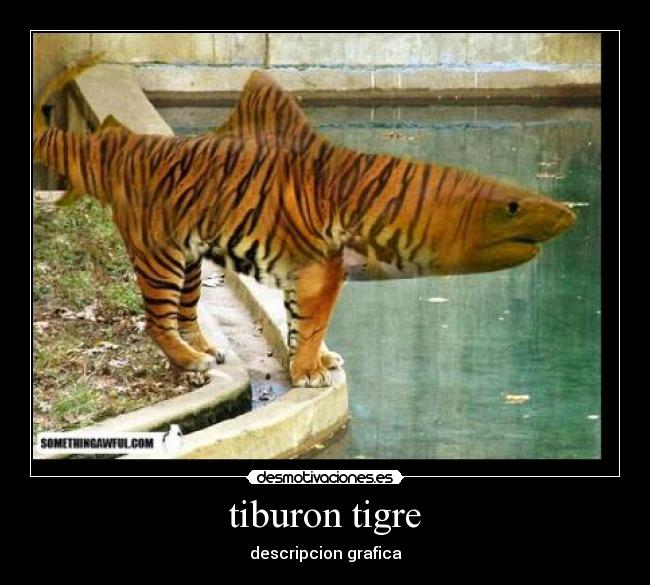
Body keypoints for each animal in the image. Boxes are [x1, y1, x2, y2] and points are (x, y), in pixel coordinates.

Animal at [33, 55, 576, 388]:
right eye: (513, 207)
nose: (568, 215)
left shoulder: (312, 271)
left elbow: (303, 322)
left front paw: (314, 362)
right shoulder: (322, 266)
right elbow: (313, 322)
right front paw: (311, 370)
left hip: (188, 261)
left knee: (184, 313)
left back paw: (204, 348)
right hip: (159, 256)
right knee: (155, 320)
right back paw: (191, 361)